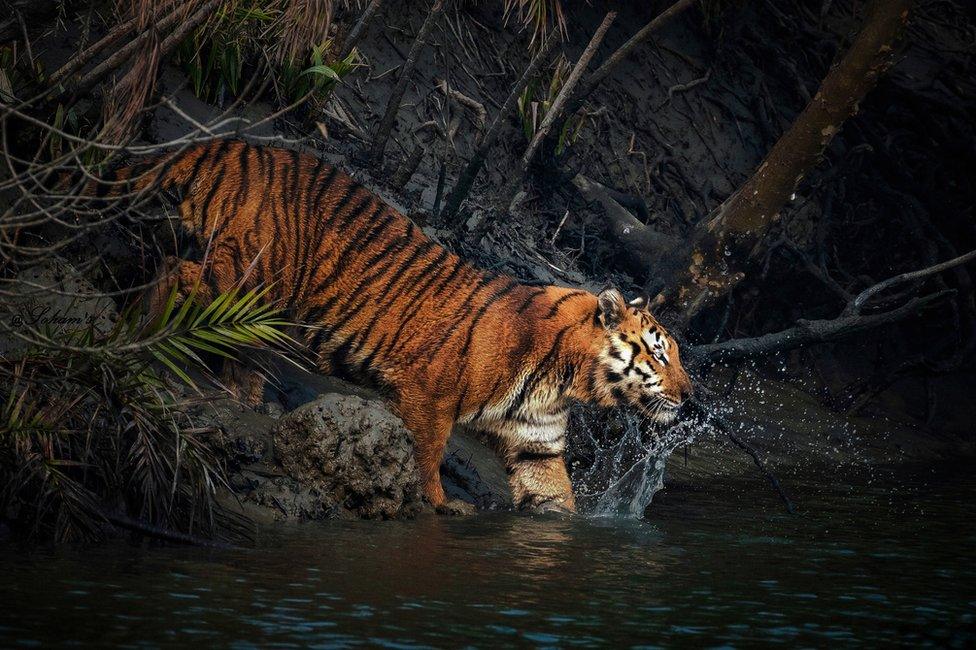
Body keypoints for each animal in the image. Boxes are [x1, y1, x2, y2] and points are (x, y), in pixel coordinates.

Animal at [87, 139, 692, 512]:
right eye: (659, 354)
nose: (691, 396)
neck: (567, 379)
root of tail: (235, 144)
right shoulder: (429, 395)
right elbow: (426, 455)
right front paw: (439, 505)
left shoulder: (535, 445)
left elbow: (557, 501)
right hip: (246, 276)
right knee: (175, 270)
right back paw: (140, 334)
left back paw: (248, 398)